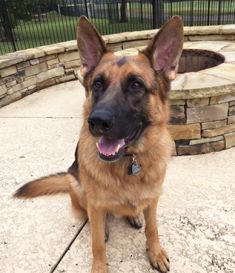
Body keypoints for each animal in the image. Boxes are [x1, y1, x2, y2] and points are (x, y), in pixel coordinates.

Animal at [14, 15, 184, 270]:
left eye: (136, 85)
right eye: (97, 84)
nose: (96, 121)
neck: (129, 162)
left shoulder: (153, 199)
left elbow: (152, 229)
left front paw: (155, 253)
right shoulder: (95, 205)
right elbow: (97, 246)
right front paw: (99, 267)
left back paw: (133, 214)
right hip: (76, 185)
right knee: (90, 216)